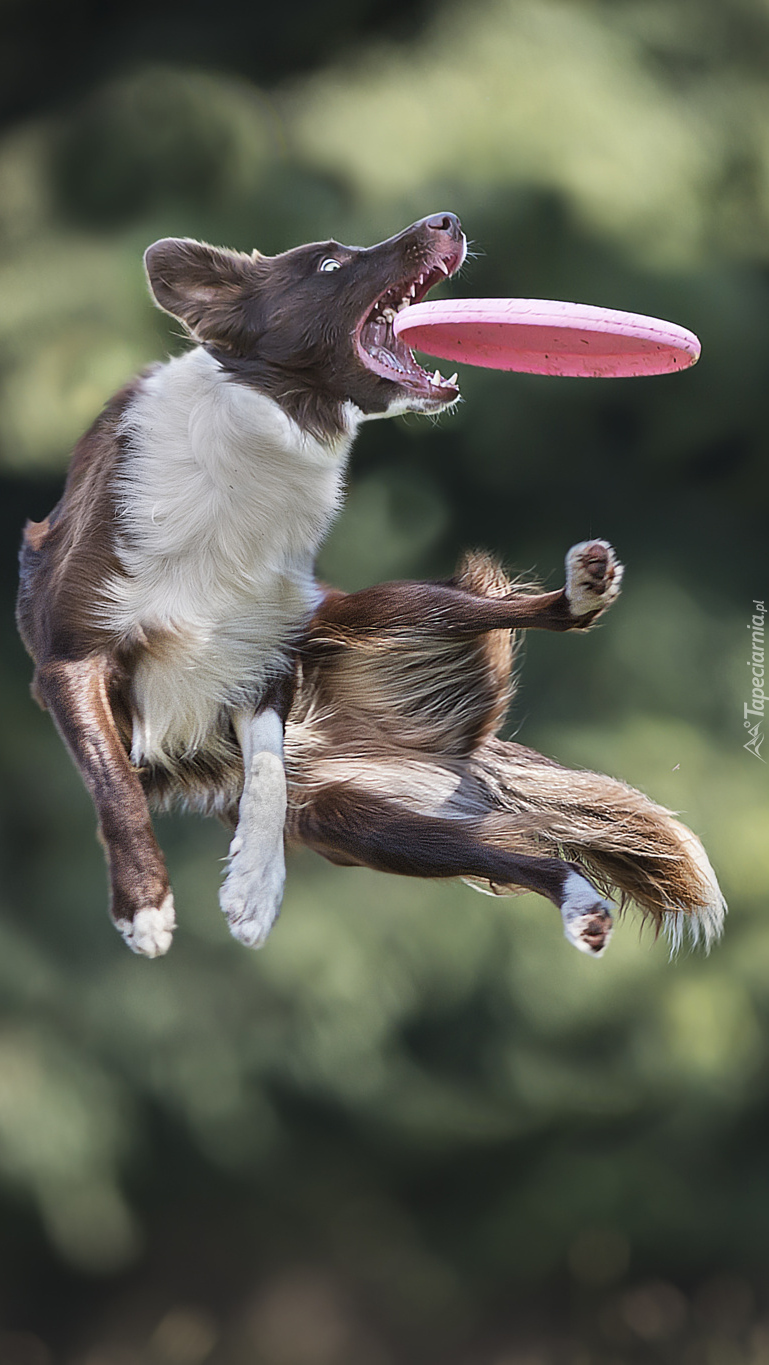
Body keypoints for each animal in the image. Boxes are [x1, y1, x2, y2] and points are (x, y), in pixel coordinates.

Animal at [18, 212, 726, 960]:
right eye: (328, 267)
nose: (446, 219)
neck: (258, 446)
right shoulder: (71, 659)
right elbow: (115, 784)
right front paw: (146, 906)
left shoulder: (268, 653)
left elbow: (267, 772)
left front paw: (255, 885)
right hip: (362, 817)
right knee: (512, 851)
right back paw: (581, 902)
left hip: (370, 645)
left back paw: (581, 594)